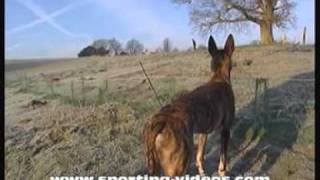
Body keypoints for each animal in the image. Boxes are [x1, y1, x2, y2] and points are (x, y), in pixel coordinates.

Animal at [142, 34, 235, 176]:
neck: (219, 76)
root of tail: (161, 121)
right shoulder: (225, 130)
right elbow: (223, 160)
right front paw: (223, 172)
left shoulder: (204, 132)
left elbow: (200, 156)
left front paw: (202, 172)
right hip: (178, 168)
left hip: (155, 166)